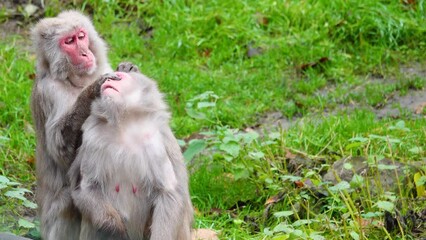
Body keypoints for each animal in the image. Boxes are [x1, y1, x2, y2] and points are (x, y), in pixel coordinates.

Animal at [30, 10, 124, 239]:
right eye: (69, 42)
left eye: (81, 36)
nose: (84, 53)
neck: (72, 79)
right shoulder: (50, 91)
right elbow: (62, 152)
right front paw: (92, 91)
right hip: (52, 227)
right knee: (68, 201)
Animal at [69, 66, 193, 240]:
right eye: (110, 78)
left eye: (118, 77)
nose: (108, 80)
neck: (124, 125)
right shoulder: (92, 138)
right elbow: (87, 187)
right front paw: (116, 230)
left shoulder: (155, 142)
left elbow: (168, 193)